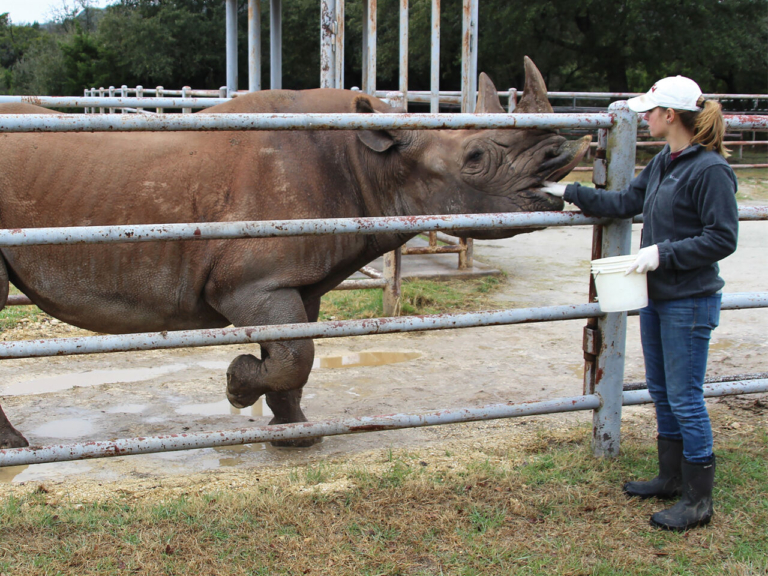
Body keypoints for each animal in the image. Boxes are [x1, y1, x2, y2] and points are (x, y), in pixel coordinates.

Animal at [0, 57, 589, 449]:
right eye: (474, 158)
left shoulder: (292, 280)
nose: (560, 157)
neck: (374, 160)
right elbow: (294, 354)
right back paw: (16, 449)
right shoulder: (251, 282)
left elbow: (294, 354)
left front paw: (294, 434)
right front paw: (238, 388)